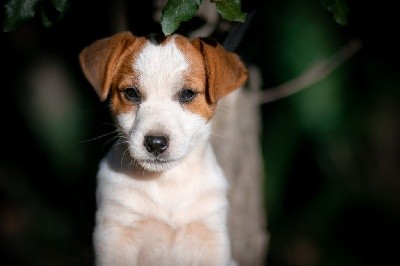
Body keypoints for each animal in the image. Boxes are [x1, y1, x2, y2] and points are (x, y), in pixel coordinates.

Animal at [79, 31, 248, 266]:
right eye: (131, 93)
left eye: (187, 94)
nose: (155, 143)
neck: (168, 181)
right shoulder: (115, 233)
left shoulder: (210, 235)